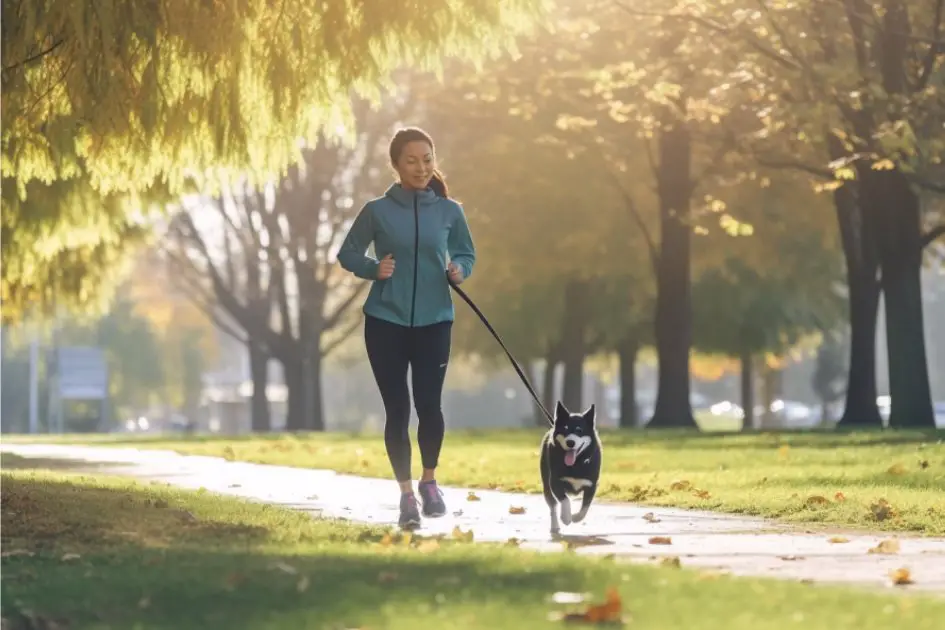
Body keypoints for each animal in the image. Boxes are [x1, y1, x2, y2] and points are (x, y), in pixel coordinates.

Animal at [540, 402, 604, 536]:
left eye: (579, 430)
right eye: (565, 428)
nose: (570, 442)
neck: (576, 463)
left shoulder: (591, 485)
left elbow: (585, 507)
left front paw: (575, 517)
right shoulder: (555, 482)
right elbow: (565, 500)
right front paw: (566, 517)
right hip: (546, 483)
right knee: (552, 504)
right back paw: (555, 526)